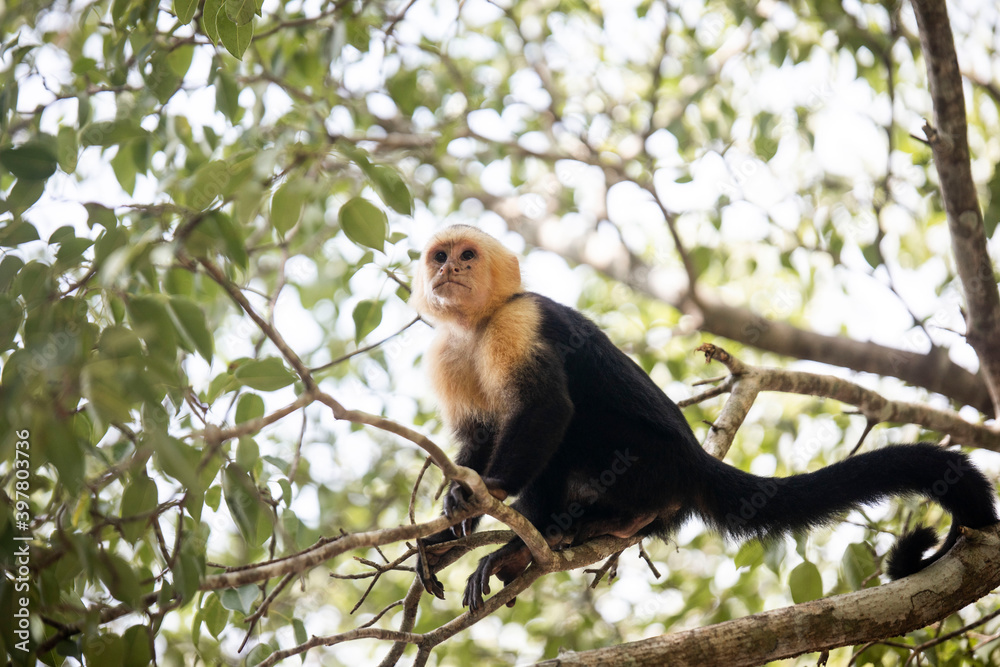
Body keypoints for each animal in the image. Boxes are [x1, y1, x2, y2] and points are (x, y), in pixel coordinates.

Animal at [409, 224, 999, 612]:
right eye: (439, 255)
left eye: (467, 254)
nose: (449, 268)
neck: (479, 324)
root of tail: (694, 462)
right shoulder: (446, 350)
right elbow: (478, 438)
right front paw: (443, 537)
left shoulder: (520, 320)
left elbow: (545, 409)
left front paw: (489, 491)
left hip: (649, 463)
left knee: (574, 430)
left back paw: (542, 537)